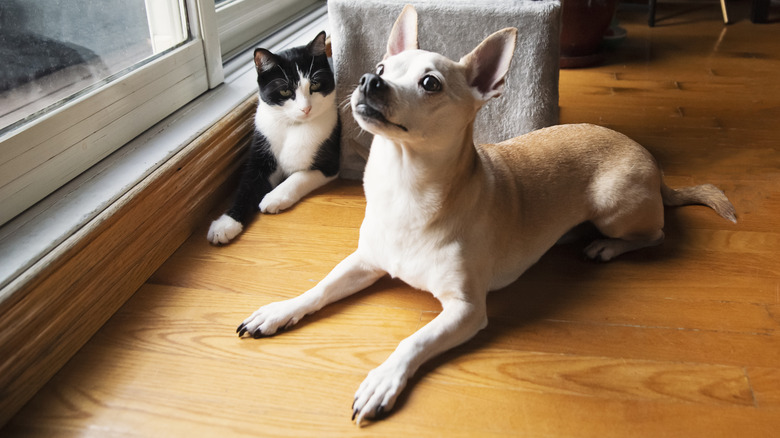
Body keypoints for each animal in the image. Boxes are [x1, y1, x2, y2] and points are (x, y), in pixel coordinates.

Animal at [209, 31, 340, 245]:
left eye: (315, 84)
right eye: (285, 90)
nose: (306, 108)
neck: (292, 127)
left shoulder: (329, 163)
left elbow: (299, 176)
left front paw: (274, 197)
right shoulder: (261, 149)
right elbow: (246, 186)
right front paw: (225, 224)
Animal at [235, 5, 736, 426]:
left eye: (430, 83)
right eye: (380, 70)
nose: (366, 81)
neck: (405, 186)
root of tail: (653, 165)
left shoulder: (466, 309)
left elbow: (413, 339)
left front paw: (382, 379)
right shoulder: (364, 261)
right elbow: (319, 288)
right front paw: (279, 310)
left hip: (615, 205)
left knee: (655, 233)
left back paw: (605, 246)